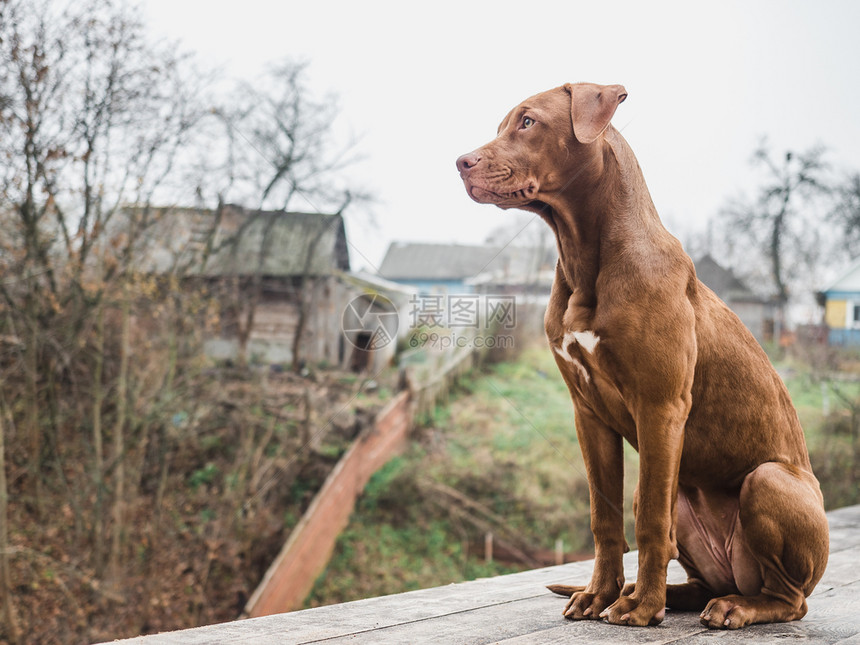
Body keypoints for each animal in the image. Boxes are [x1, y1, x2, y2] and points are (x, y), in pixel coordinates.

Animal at [456, 83, 828, 628]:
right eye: (503, 124)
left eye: (528, 122)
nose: (461, 162)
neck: (586, 257)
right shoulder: (588, 413)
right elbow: (605, 515)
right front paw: (599, 595)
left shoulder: (660, 406)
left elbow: (649, 518)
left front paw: (642, 608)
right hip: (688, 497)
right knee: (695, 573)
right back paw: (660, 593)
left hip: (767, 480)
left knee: (788, 598)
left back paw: (727, 606)